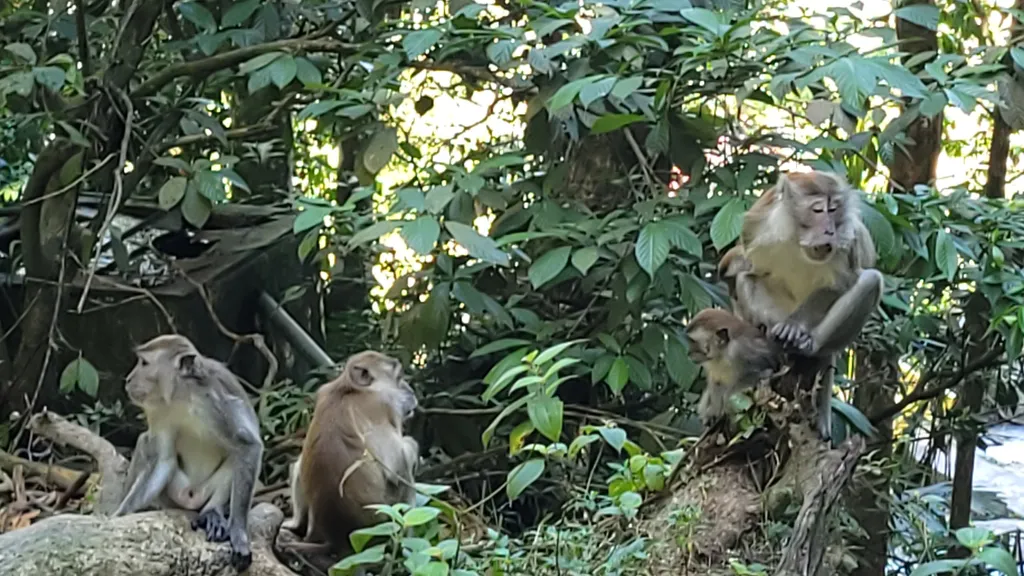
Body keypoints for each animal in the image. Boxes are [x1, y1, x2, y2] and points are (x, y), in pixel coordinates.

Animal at [112, 332, 264, 569]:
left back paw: (213, 513)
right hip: (176, 493)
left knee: (236, 457)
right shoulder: (157, 410)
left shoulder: (215, 401)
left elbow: (247, 446)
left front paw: (238, 534)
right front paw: (120, 515)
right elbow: (163, 460)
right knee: (145, 441)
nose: (128, 379)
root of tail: (191, 497)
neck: (181, 396)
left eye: (144, 363)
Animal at [282, 348, 417, 557]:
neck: (348, 389)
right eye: (399, 377)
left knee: (297, 464)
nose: (410, 391)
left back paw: (295, 525)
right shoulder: (384, 403)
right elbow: (397, 467)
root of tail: (335, 540)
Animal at [724, 170, 884, 438]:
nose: (829, 231)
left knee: (870, 280)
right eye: (818, 210)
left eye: (834, 210)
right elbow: (749, 269)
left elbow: (840, 284)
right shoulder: (756, 226)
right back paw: (772, 338)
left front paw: (794, 327)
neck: (797, 239)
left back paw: (807, 345)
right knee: (747, 278)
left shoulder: (846, 240)